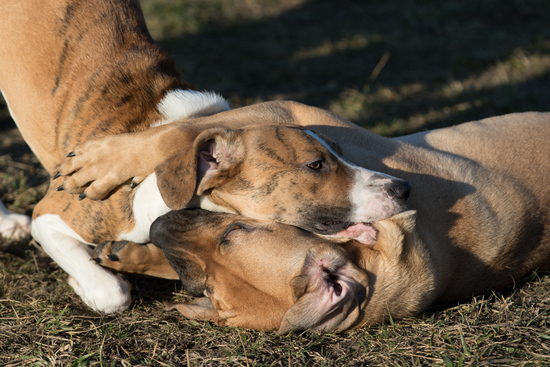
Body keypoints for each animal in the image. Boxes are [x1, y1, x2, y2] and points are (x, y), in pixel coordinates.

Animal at [0, 0, 410, 316]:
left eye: (341, 152)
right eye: (315, 165)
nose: (403, 189)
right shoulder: (51, 216)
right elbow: (112, 292)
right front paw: (84, 283)